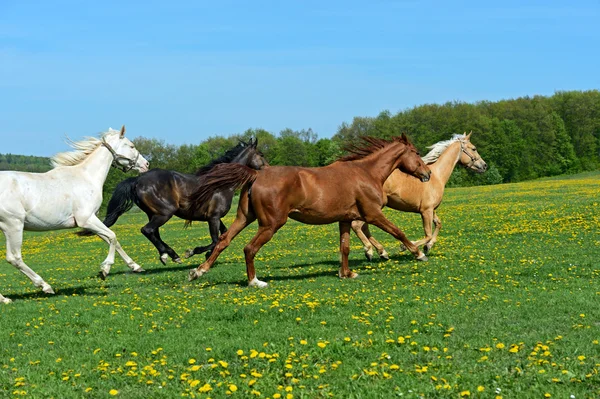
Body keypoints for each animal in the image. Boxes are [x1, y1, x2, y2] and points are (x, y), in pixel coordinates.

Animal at [0, 126, 150, 304]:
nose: (146, 164)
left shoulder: (92, 221)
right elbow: (112, 236)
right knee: (14, 258)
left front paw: (136, 266)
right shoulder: (86, 220)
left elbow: (112, 240)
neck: (87, 177)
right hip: (13, 225)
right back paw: (45, 286)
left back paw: (5, 299)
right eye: (131, 146)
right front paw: (104, 270)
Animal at [85, 138, 268, 276]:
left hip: (154, 213)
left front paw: (207, 255)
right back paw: (172, 255)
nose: (267, 168)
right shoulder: (213, 218)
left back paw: (166, 255)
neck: (221, 183)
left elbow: (223, 236)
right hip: (165, 213)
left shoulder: (214, 218)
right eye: (261, 154)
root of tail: (137, 180)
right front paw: (193, 252)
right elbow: (216, 239)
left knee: (153, 232)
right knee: (147, 230)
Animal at [188, 134, 432, 288]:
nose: (427, 174)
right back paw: (254, 281)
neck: (366, 172)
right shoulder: (373, 214)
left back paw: (198, 271)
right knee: (249, 248)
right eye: (416, 152)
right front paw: (418, 253)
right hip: (271, 224)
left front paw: (347, 273)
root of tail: (257, 174)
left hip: (244, 218)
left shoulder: (345, 219)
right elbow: (397, 231)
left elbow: (344, 248)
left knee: (223, 240)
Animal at [352, 133, 488, 260]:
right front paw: (407, 247)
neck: (437, 176)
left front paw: (428, 247)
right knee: (357, 225)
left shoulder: (431, 209)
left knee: (362, 226)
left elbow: (438, 224)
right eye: (474, 148)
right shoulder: (426, 211)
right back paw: (371, 251)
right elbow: (428, 235)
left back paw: (380, 252)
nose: (484, 165)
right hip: (375, 208)